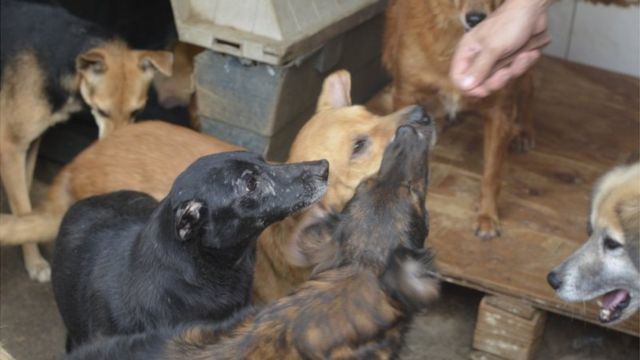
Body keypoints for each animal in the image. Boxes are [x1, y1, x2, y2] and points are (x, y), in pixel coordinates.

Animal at [0, 0, 174, 282]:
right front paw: (34, 261)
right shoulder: (10, 147)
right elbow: (22, 205)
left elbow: (23, 202)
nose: (119, 150)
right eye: (102, 111)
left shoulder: (30, 142)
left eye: (136, 112)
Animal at [380, 0, 536, 242]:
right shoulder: (406, 94)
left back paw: (525, 133)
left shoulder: (499, 111)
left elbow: (491, 173)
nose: (475, 19)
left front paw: (487, 215)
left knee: (528, 89)